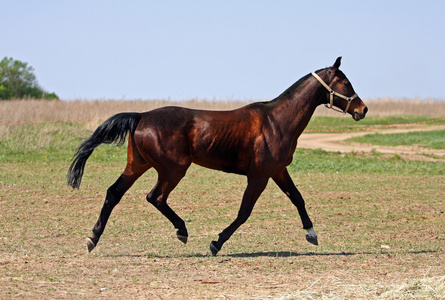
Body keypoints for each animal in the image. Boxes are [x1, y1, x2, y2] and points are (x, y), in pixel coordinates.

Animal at [67, 56, 366, 255]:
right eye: (345, 82)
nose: (362, 110)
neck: (277, 121)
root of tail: (141, 117)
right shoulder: (259, 176)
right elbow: (244, 212)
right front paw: (216, 243)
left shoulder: (278, 171)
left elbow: (297, 198)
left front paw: (311, 233)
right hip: (173, 168)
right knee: (155, 197)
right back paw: (182, 231)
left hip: (138, 164)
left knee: (114, 193)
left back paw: (93, 238)